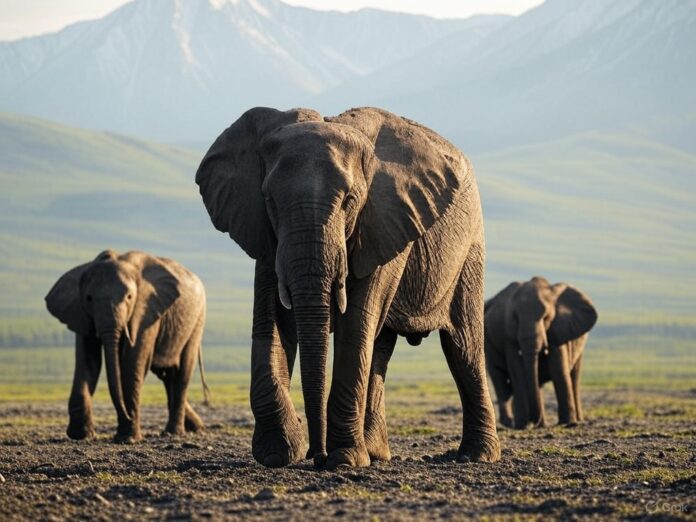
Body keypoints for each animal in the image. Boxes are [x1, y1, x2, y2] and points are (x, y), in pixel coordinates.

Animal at [45, 249, 210, 443]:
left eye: (129, 297)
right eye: (89, 298)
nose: (127, 415)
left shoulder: (146, 309)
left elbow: (133, 359)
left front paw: (127, 438)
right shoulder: (81, 312)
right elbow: (88, 359)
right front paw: (81, 435)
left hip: (197, 319)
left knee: (182, 371)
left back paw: (174, 432)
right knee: (167, 374)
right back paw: (195, 427)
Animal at [196, 106, 500, 469]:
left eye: (350, 200)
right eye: (269, 200)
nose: (316, 455)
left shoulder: (384, 216)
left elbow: (356, 321)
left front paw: (343, 460)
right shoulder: (266, 232)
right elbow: (271, 318)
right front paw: (277, 453)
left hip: (470, 244)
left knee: (461, 346)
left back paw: (476, 455)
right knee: (381, 347)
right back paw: (376, 453)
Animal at [484, 277, 597, 429]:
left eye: (546, 317)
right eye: (515, 317)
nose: (533, 422)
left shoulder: (557, 328)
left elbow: (558, 370)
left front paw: (567, 422)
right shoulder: (509, 337)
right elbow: (517, 372)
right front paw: (522, 425)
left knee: (574, 376)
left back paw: (574, 421)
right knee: (500, 379)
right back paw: (514, 423)